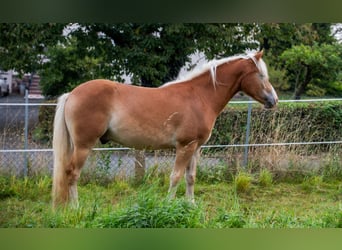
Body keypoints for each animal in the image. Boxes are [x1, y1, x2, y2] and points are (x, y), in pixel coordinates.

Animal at [52, 49, 278, 208]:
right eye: (260, 75)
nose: (273, 100)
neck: (200, 96)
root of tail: (72, 94)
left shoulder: (196, 148)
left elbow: (190, 177)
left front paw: (190, 205)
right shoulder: (185, 146)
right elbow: (175, 177)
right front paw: (169, 205)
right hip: (83, 146)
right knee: (72, 173)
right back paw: (76, 207)